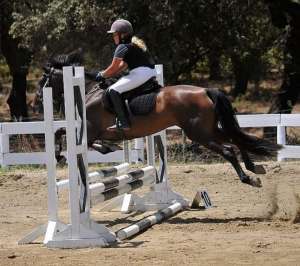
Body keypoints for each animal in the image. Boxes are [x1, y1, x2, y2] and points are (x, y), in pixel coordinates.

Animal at [34, 51, 282, 187]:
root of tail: (205, 91)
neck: (88, 90)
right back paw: (255, 168)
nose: (37, 100)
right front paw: (107, 148)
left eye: (43, 79)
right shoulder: (96, 132)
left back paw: (249, 179)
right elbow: (79, 138)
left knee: (229, 149)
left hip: (199, 133)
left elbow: (60, 133)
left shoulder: (91, 129)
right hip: (209, 129)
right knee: (235, 139)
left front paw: (59, 155)